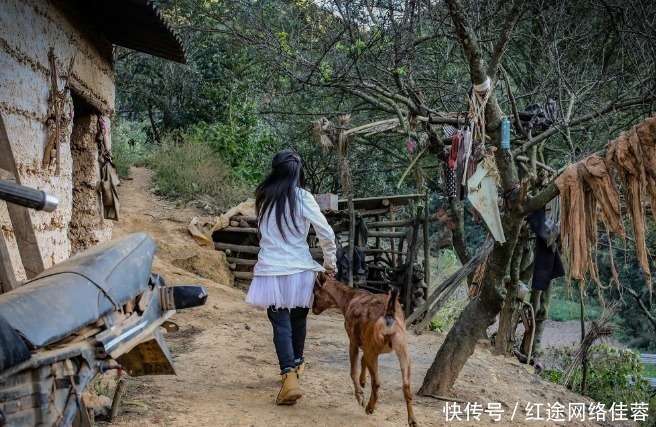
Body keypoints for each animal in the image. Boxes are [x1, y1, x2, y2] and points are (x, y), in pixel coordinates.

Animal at [312, 274, 416, 427]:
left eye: (314, 291)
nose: (313, 309)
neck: (348, 299)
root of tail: (389, 316)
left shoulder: (354, 340)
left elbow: (353, 370)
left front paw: (360, 395)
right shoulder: (368, 346)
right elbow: (362, 361)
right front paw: (363, 381)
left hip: (374, 348)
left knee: (377, 381)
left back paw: (369, 407)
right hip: (402, 350)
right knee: (406, 385)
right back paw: (412, 419)